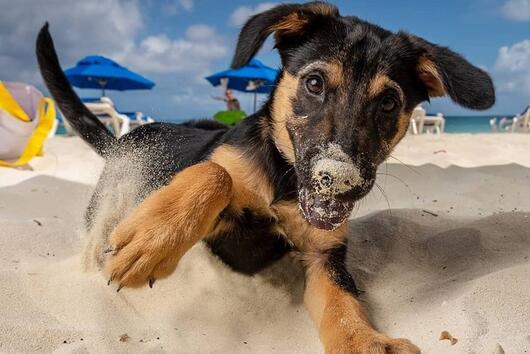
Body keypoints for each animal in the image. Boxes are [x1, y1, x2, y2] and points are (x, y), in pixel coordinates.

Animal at [35, 2, 492, 352]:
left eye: (389, 102)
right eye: (314, 83)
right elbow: (215, 171)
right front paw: (151, 241)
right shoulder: (221, 220)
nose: (339, 179)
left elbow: (343, 305)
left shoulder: (325, 257)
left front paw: (364, 342)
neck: (284, 184)